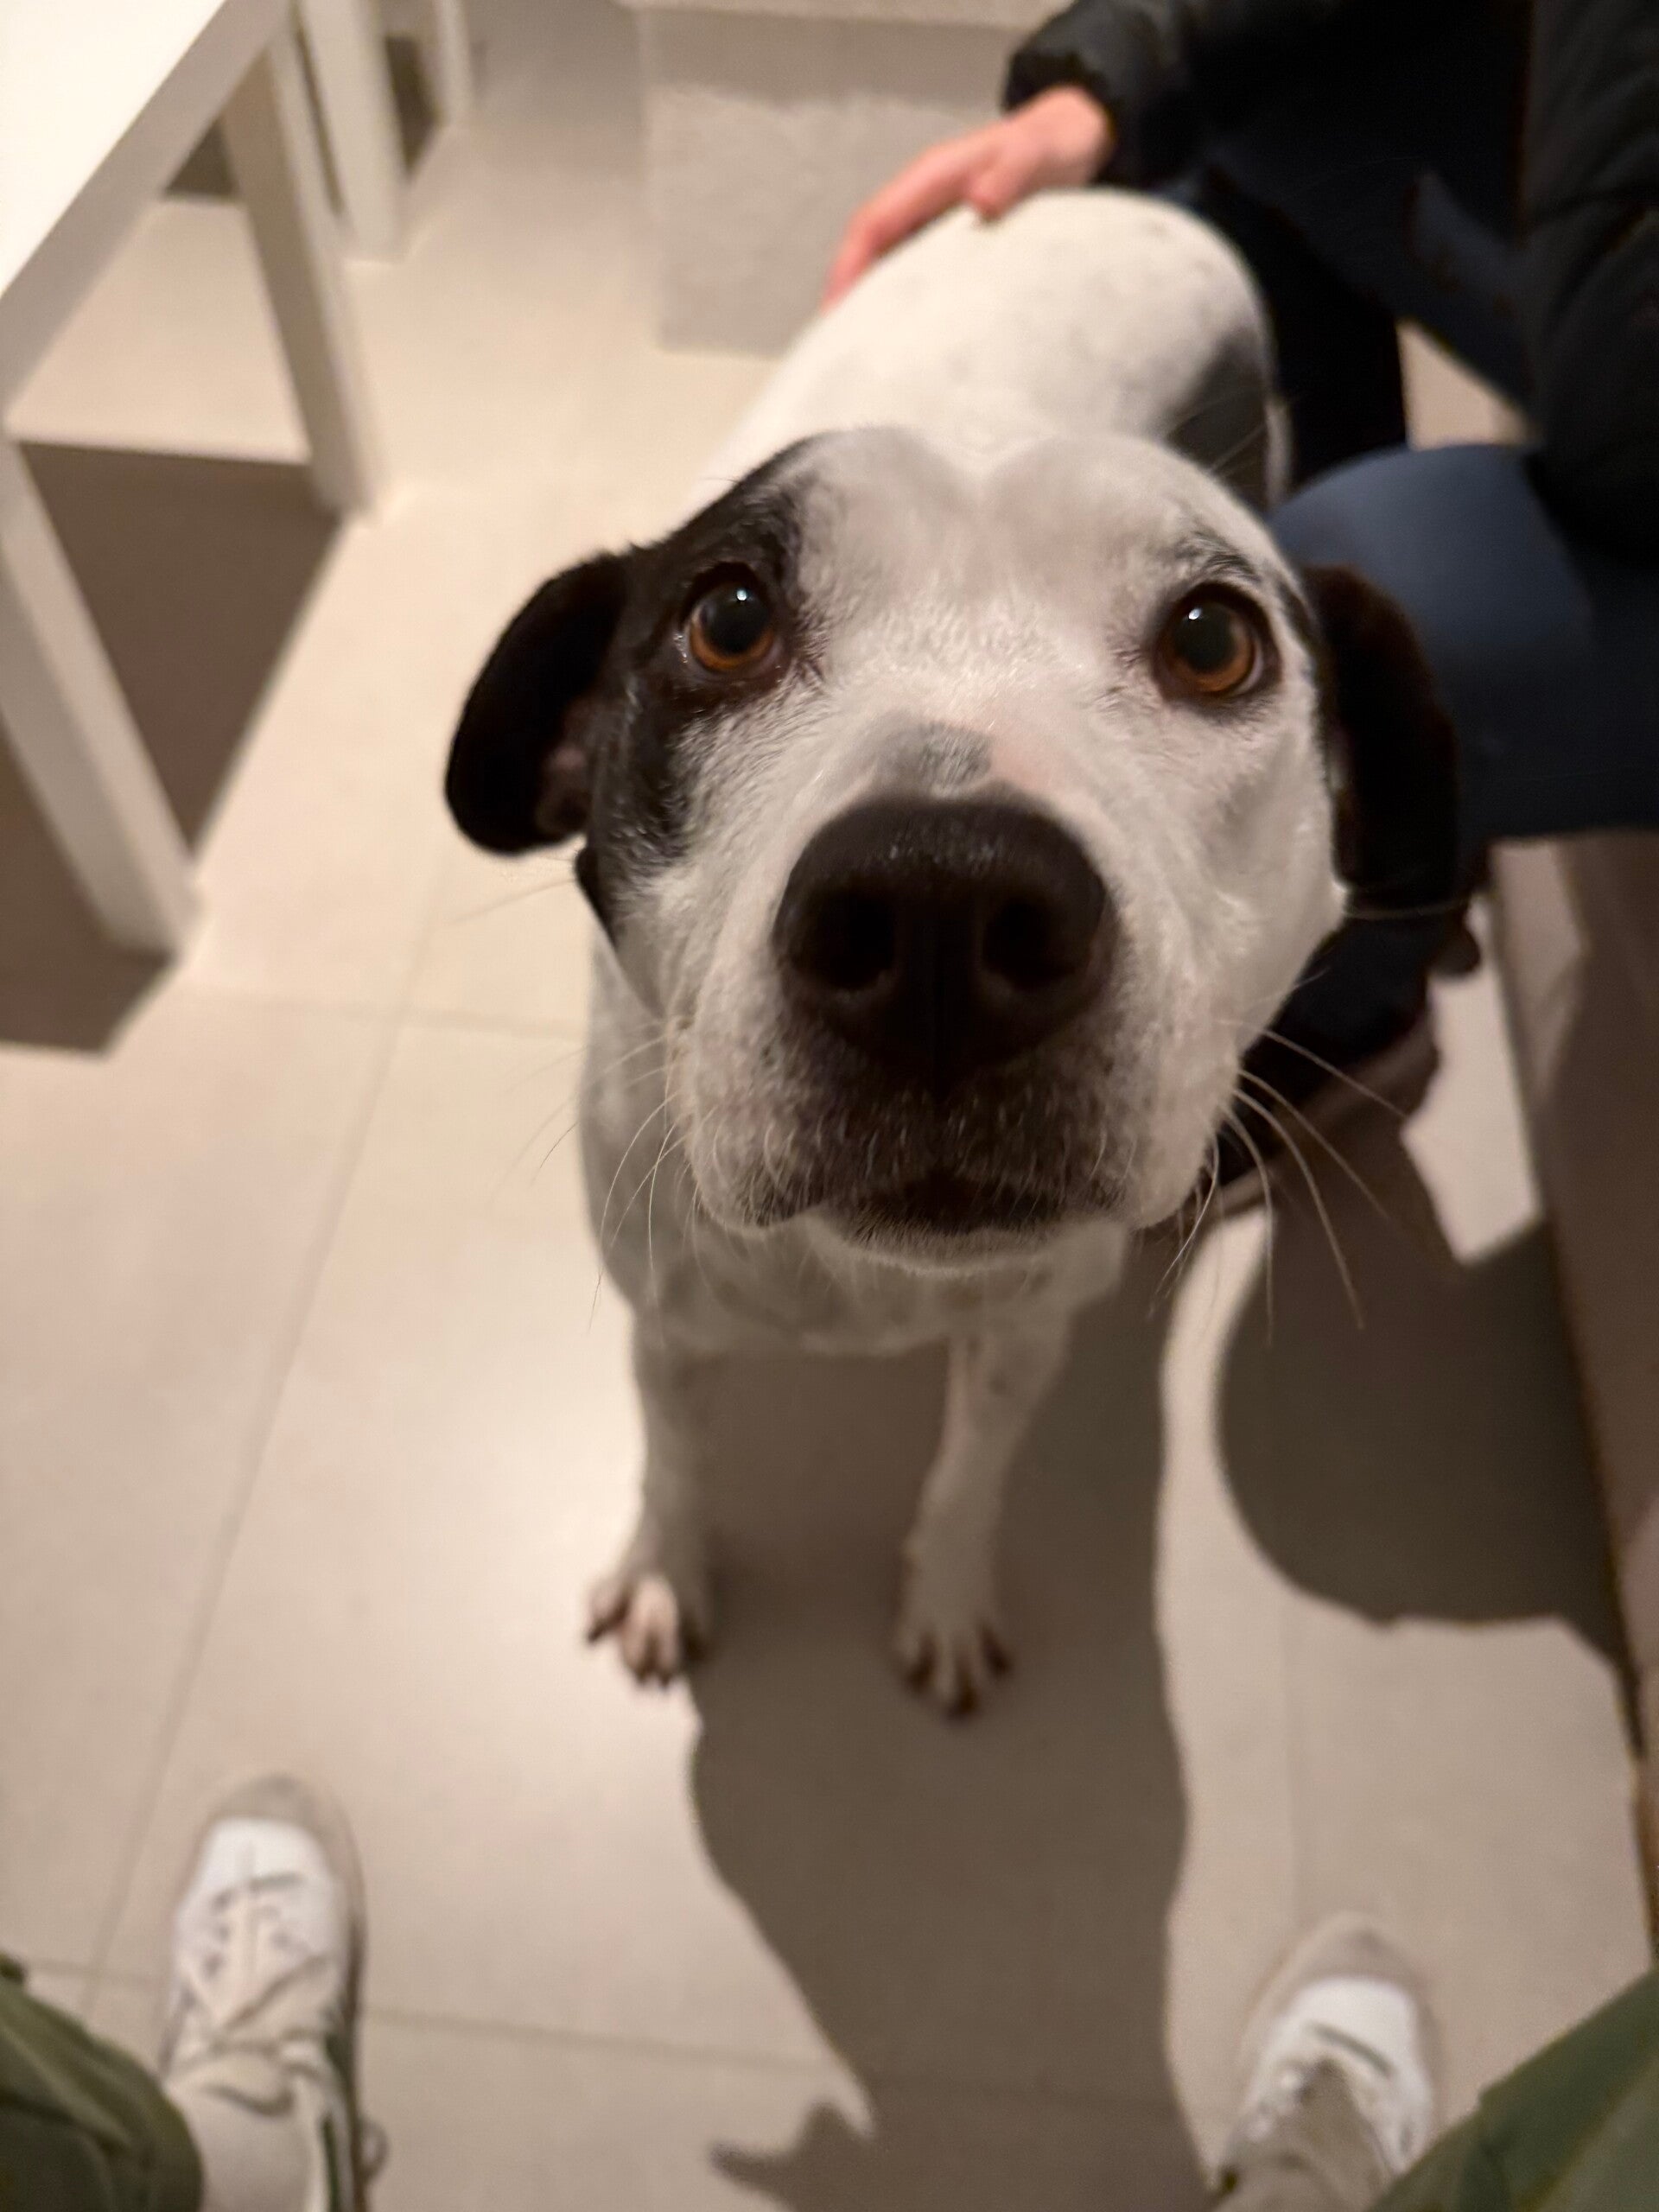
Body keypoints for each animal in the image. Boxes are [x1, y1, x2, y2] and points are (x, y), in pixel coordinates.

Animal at [445, 192, 1456, 1712]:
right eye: (727, 619)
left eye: (1214, 642)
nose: (943, 914)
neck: (860, 1283)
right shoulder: (665, 1317)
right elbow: (675, 1453)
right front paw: (668, 1570)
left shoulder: (1024, 1330)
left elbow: (971, 1476)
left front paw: (945, 1597)